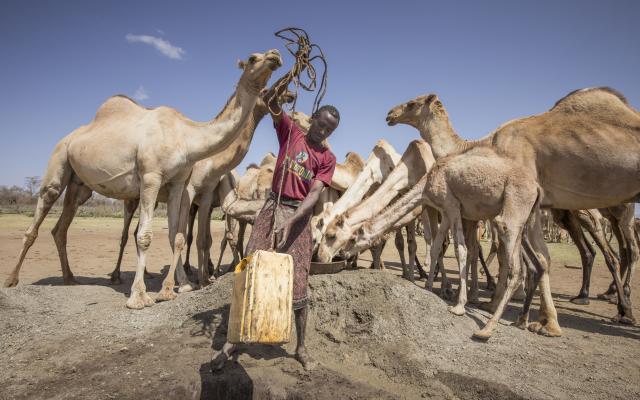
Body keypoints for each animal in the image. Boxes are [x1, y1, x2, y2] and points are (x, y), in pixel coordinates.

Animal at [5, 49, 283, 311]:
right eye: (252, 58)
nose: (275, 55)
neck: (187, 138)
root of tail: (69, 137)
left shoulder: (178, 184)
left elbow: (176, 236)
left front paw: (176, 287)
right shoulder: (153, 178)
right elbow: (147, 236)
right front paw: (140, 296)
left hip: (79, 186)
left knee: (61, 227)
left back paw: (70, 278)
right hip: (59, 159)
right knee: (42, 212)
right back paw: (12, 280)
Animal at [386, 88, 640, 329]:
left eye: (412, 103)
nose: (390, 114)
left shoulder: (508, 202)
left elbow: (503, 253)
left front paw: (494, 301)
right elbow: (509, 253)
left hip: (605, 214)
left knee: (621, 250)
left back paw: (623, 310)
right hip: (580, 214)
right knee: (603, 250)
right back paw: (595, 298)